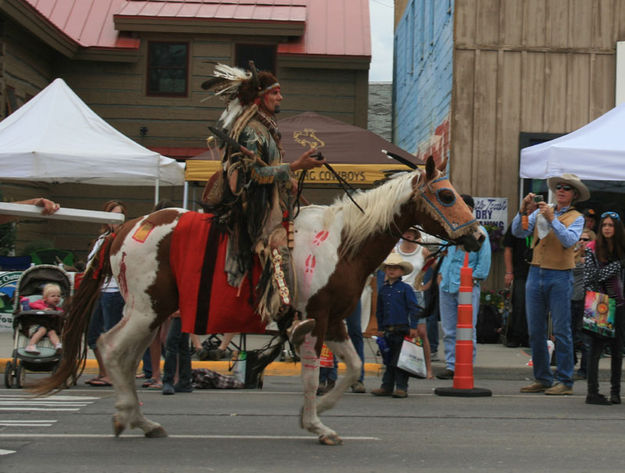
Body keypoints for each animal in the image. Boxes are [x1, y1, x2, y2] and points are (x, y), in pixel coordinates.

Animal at [33, 157, 482, 444]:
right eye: (446, 195)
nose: (477, 236)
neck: (342, 243)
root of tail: (125, 228)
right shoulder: (312, 320)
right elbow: (310, 375)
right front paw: (316, 425)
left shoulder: (335, 320)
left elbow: (354, 367)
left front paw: (322, 411)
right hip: (146, 309)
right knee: (110, 348)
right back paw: (129, 414)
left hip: (153, 313)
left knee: (126, 357)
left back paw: (140, 421)